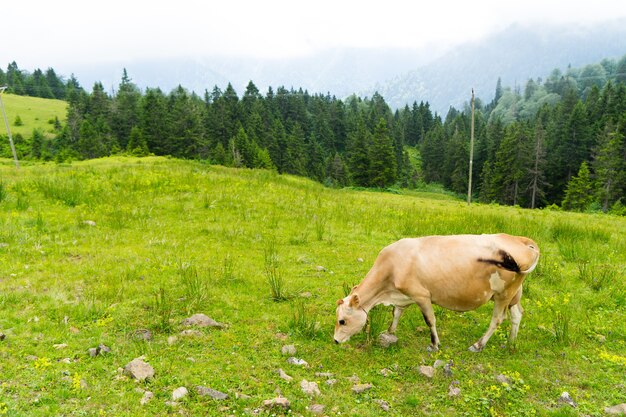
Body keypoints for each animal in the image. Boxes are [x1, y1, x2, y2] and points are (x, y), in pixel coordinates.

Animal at [334, 232, 540, 350]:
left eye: (342, 321)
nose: (335, 340)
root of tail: (520, 240)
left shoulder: (422, 295)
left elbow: (430, 320)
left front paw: (434, 344)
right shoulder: (404, 296)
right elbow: (397, 313)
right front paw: (390, 332)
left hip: (503, 294)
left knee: (497, 319)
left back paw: (478, 345)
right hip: (514, 293)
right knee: (517, 314)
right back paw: (511, 342)